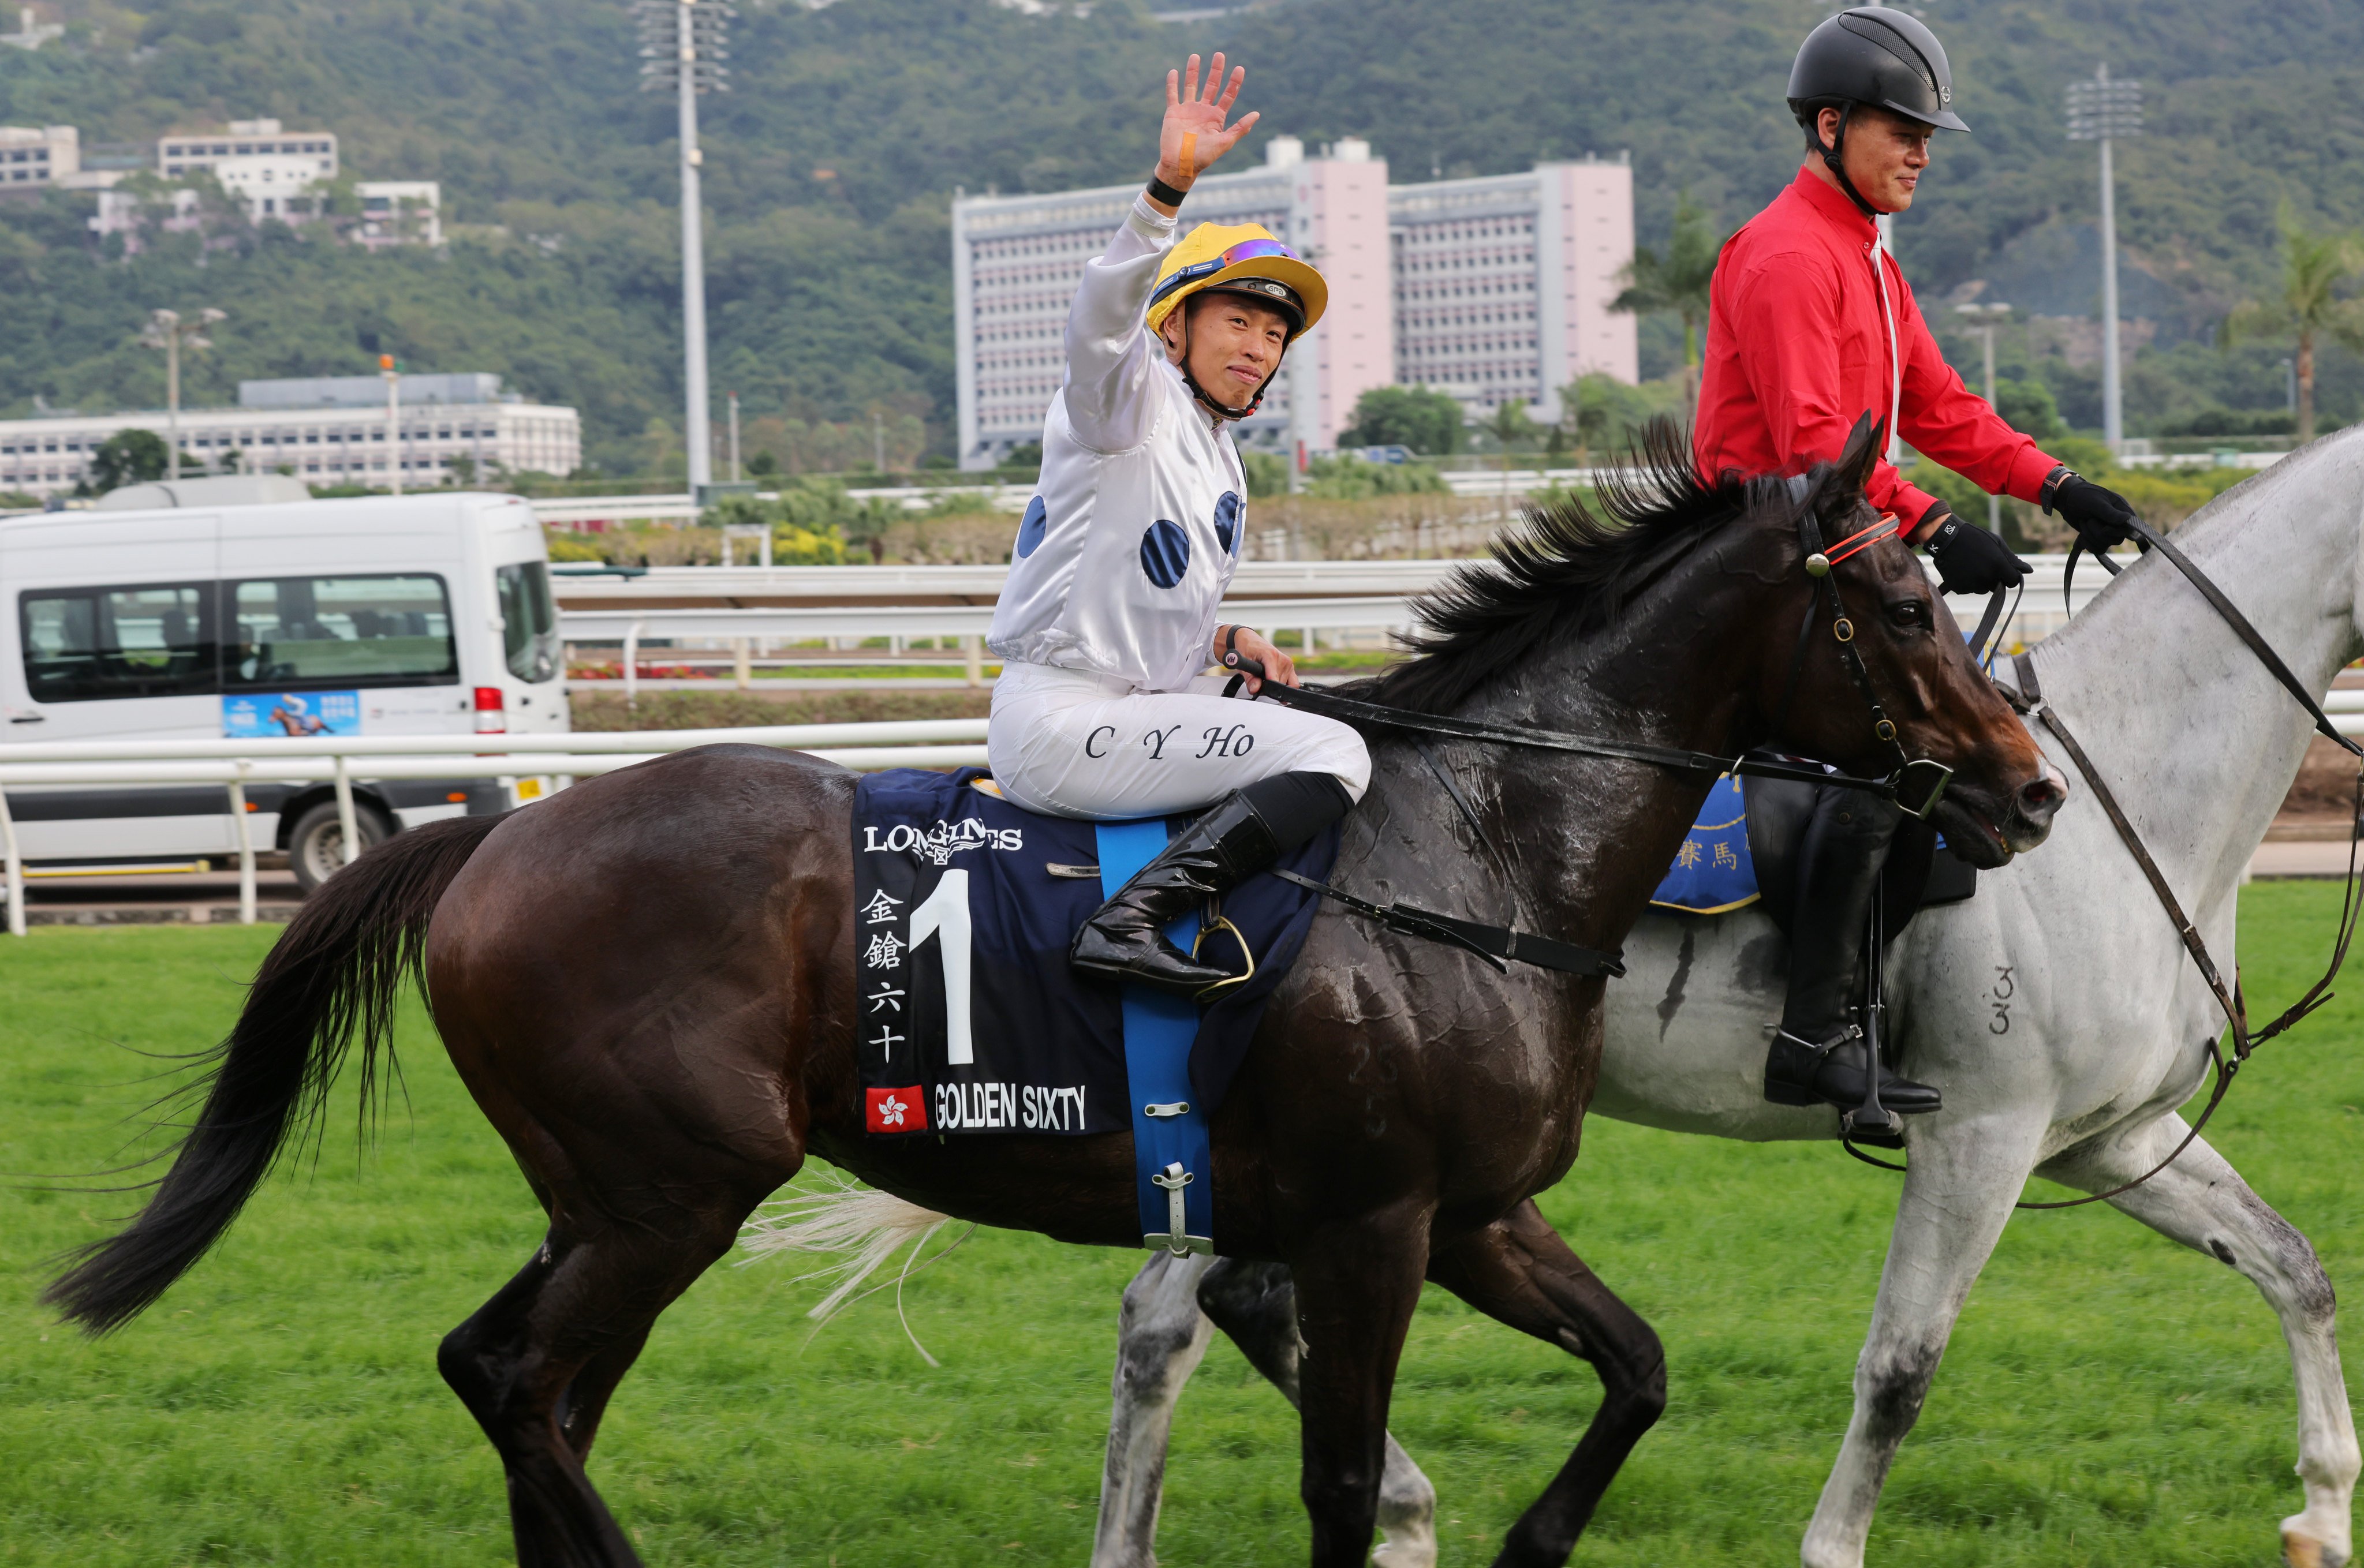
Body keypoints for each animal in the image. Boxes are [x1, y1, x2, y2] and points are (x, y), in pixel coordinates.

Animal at [46, 421, 2061, 1568]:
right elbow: (1344, 1477)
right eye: (1899, 611)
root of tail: (492, 841)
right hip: (672, 1189)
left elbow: (1634, 1367)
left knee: (507, 1374)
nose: (2026, 788)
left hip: (605, 1194)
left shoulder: (1475, 1208)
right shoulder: (1371, 1218)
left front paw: (1533, 1540)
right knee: (532, 1387)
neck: (1477, 845)